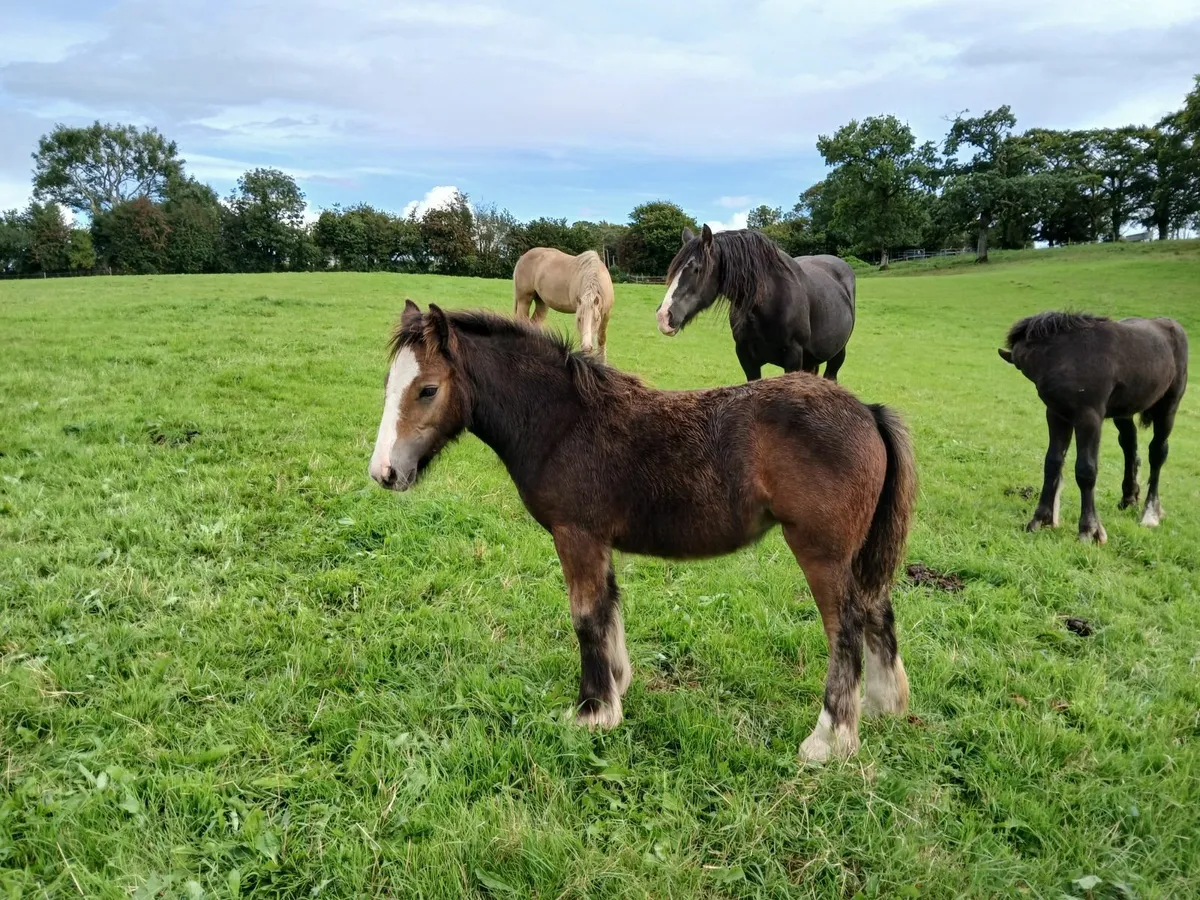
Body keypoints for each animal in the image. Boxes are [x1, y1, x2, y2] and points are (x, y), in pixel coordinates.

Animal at [369, 300, 917, 764]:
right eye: (389, 385)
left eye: (428, 389)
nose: (384, 473)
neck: (562, 421)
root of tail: (868, 411)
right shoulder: (599, 542)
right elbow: (609, 607)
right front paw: (616, 686)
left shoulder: (576, 535)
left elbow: (586, 616)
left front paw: (592, 711)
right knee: (876, 608)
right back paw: (883, 706)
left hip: (820, 552)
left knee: (844, 628)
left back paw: (829, 740)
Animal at [655, 225, 856, 382]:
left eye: (697, 269)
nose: (664, 316)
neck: (770, 302)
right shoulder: (746, 358)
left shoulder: (793, 356)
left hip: (837, 355)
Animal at [998, 310, 1188, 543]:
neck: (1066, 355)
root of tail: (1171, 324)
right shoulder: (1057, 415)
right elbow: (1052, 463)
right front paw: (1040, 520)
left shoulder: (1089, 417)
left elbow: (1086, 470)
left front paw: (1089, 530)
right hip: (1123, 412)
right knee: (1129, 445)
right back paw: (1129, 497)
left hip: (1168, 407)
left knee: (1157, 452)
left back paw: (1150, 514)